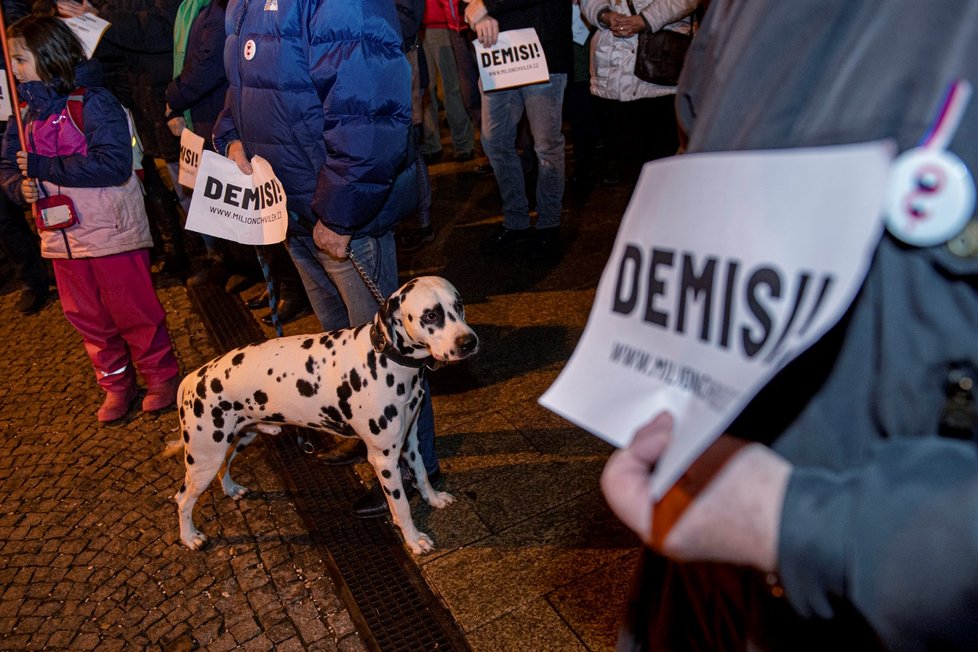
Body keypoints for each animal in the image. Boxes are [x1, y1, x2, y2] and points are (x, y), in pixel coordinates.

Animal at [166, 276, 478, 556]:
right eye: (431, 315)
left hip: (238, 439)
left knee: (224, 468)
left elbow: (422, 474)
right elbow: (401, 506)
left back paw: (230, 489)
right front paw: (414, 540)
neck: (385, 358)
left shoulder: (410, 441)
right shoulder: (384, 458)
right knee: (182, 498)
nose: (469, 342)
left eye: (459, 305)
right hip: (204, 457)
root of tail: (192, 378)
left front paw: (434, 499)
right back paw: (189, 537)